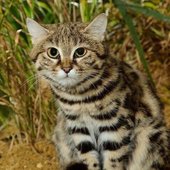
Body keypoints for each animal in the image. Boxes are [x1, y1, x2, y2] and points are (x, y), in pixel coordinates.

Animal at [25, 13, 169, 170]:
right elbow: (89, 158)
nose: (66, 68)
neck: (79, 97)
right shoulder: (78, 127)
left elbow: (113, 161)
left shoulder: (116, 125)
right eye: (53, 52)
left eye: (80, 52)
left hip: (150, 133)